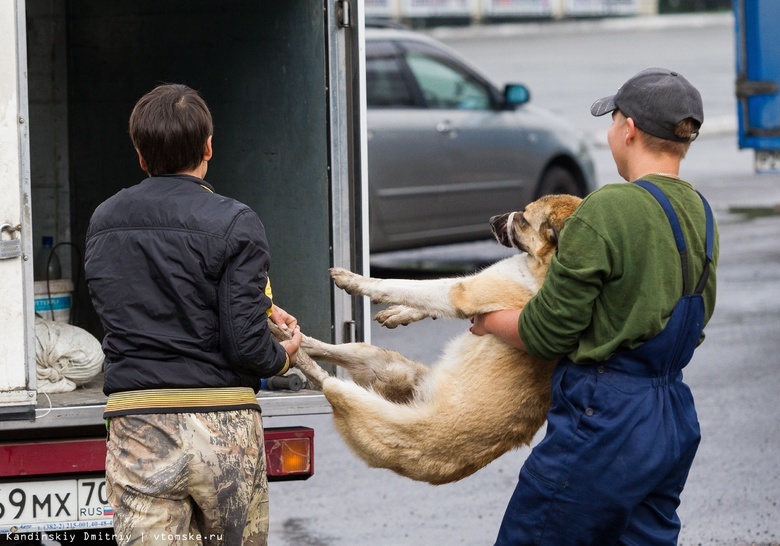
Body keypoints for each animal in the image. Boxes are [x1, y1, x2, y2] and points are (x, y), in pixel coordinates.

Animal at [284, 193, 580, 482]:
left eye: (523, 219)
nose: (491, 220)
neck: (547, 261)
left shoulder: (462, 292)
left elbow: (403, 285)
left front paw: (356, 281)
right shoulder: (463, 289)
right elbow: (423, 292)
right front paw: (402, 312)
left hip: (355, 398)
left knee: (325, 379)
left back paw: (295, 353)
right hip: (378, 360)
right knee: (327, 351)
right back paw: (288, 336)